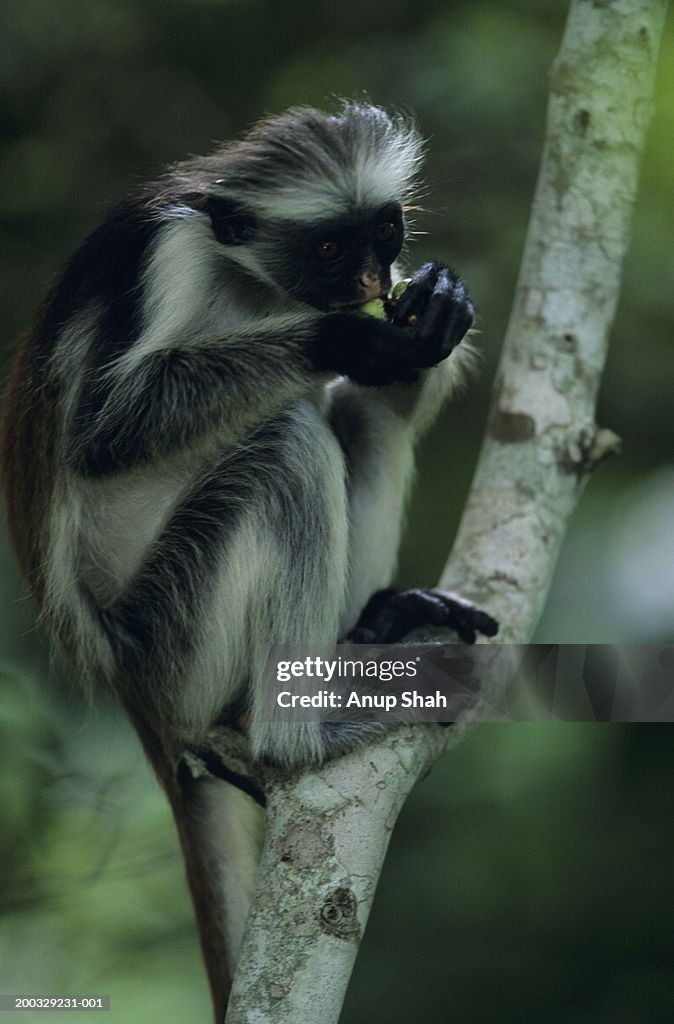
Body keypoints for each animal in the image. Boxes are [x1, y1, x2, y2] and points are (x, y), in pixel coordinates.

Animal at [0, 101, 493, 1015]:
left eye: (383, 231)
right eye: (328, 248)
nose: (369, 282)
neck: (252, 282)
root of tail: (133, 691)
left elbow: (390, 386)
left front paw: (439, 309)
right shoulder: (166, 255)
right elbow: (102, 431)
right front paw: (339, 339)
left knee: (356, 416)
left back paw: (374, 628)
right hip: (175, 635)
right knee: (288, 444)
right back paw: (294, 738)